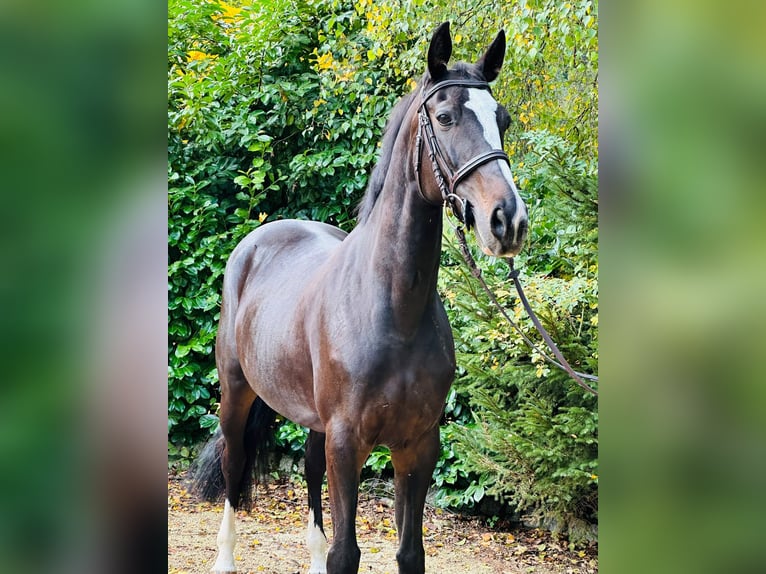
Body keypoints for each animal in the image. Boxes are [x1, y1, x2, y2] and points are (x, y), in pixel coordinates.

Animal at [192, 20, 528, 572]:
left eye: (502, 118)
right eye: (444, 117)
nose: (508, 221)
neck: (392, 309)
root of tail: (257, 241)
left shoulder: (418, 445)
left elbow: (409, 552)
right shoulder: (348, 442)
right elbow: (346, 553)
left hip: (313, 420)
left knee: (308, 468)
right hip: (236, 391)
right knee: (233, 459)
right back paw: (224, 557)